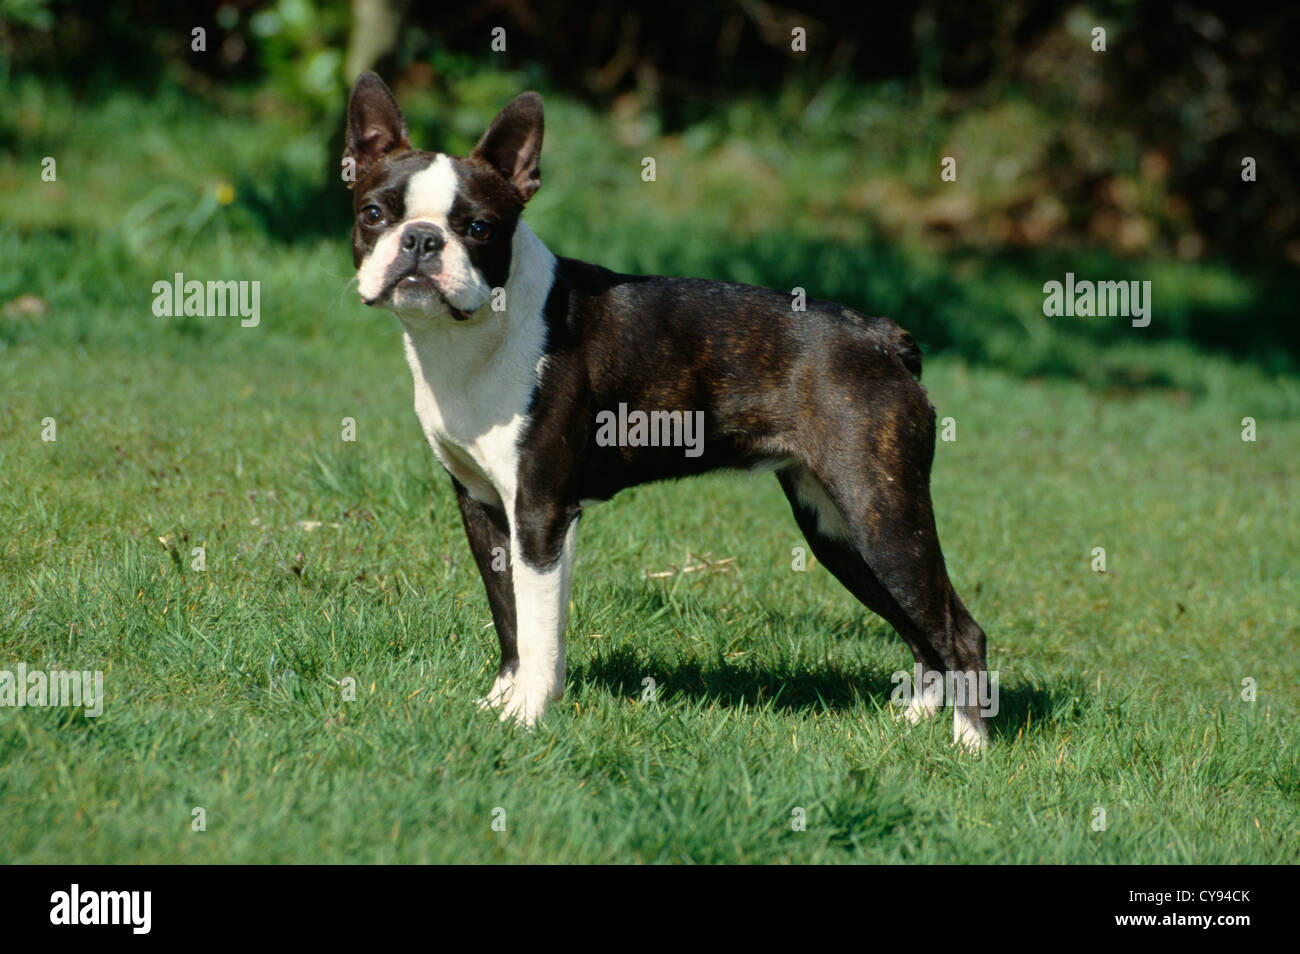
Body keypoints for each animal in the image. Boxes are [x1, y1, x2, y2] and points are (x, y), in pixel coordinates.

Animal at [340, 70, 987, 748]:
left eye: (480, 228)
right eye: (373, 214)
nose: (421, 239)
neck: (470, 336)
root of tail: (882, 337)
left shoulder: (540, 513)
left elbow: (539, 626)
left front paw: (528, 717)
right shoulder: (483, 507)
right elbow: (511, 617)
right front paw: (501, 704)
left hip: (881, 513)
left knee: (958, 629)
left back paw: (967, 747)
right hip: (837, 528)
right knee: (920, 628)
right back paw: (916, 720)